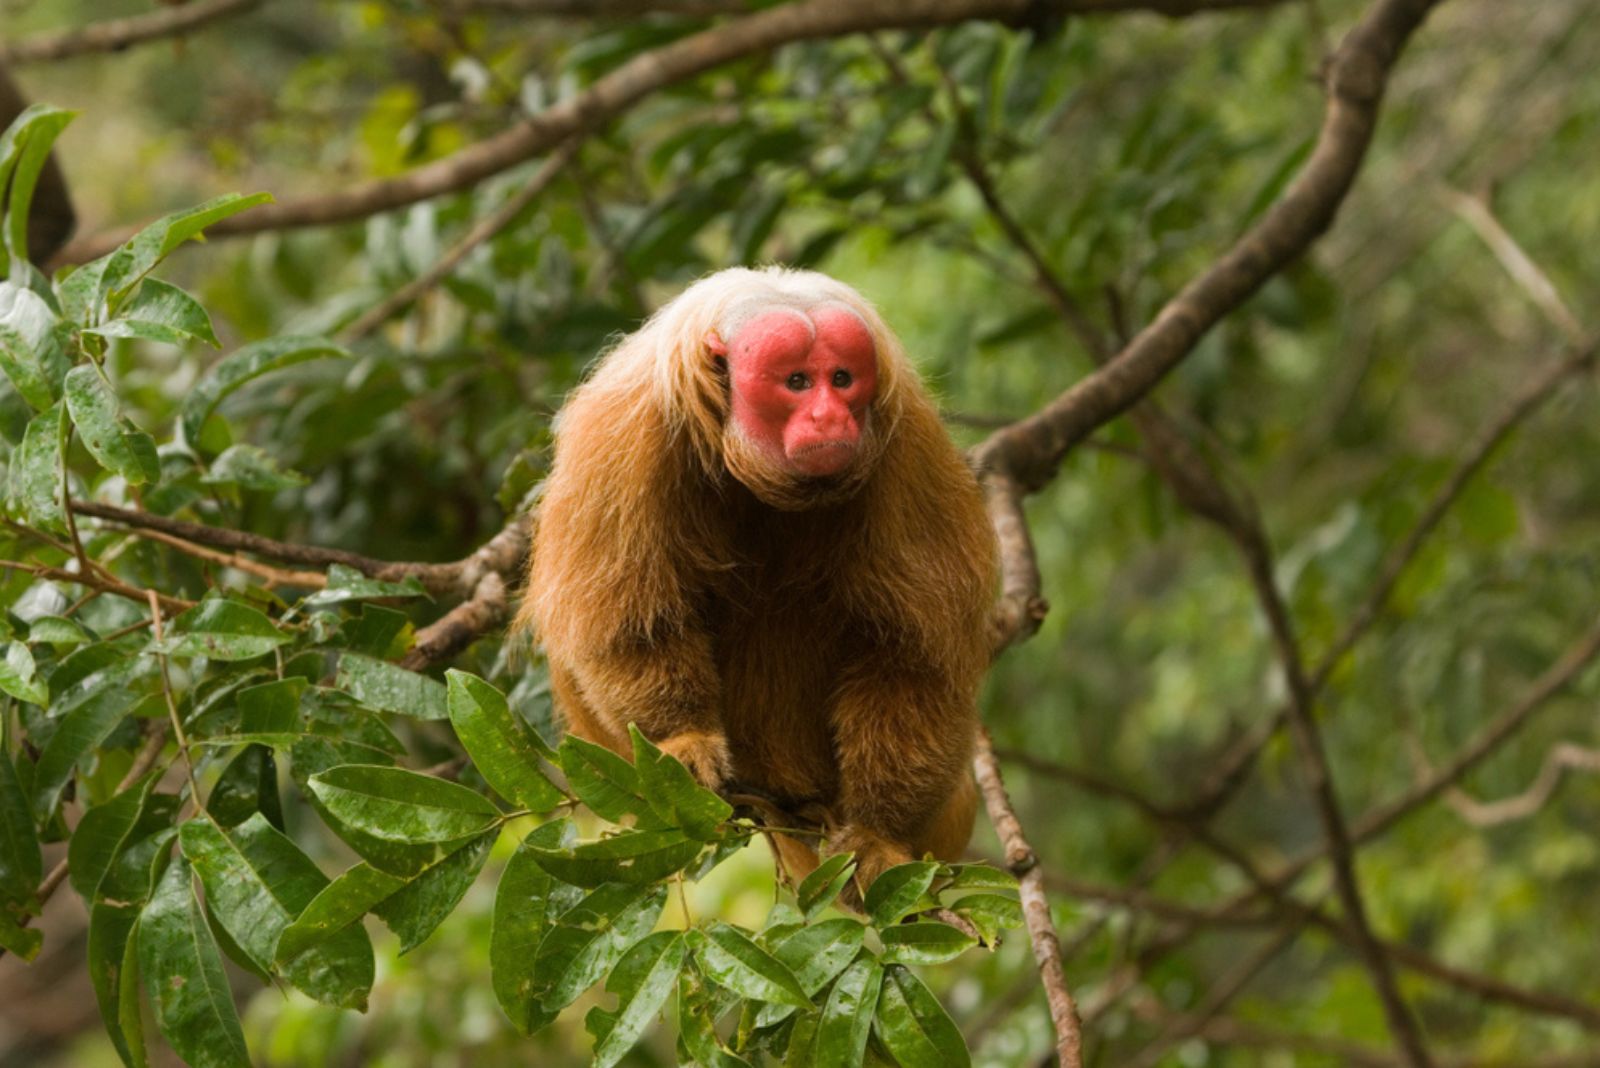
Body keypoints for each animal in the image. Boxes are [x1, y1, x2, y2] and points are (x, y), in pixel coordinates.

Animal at [524, 265, 992, 895]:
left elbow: (914, 662)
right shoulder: (623, 437)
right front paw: (681, 738)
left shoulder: (906, 446)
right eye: (796, 382)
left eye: (841, 379)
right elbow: (627, 621)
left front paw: (876, 833)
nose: (830, 417)